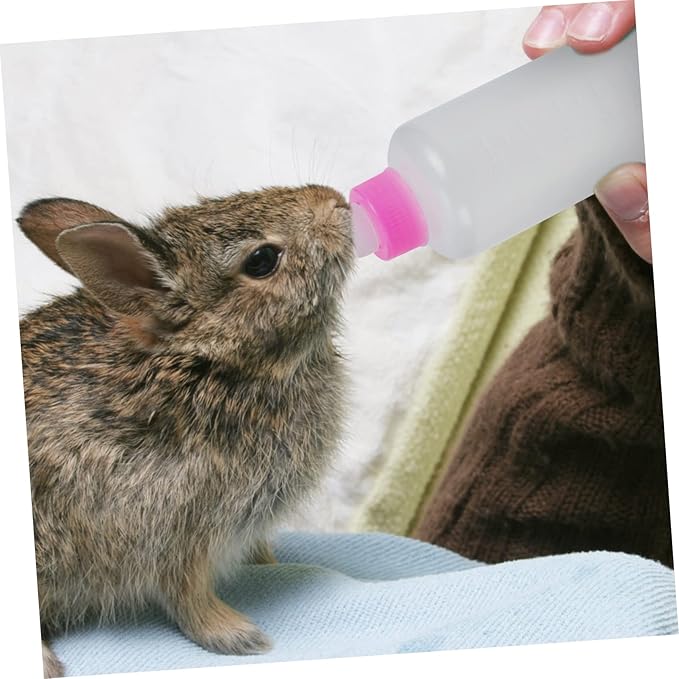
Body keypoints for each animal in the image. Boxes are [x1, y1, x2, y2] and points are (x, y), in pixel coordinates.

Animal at [17, 185, 354, 678]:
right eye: (262, 260)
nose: (337, 202)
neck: (205, 360)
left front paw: (270, 563)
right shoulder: (176, 529)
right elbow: (187, 595)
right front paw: (239, 637)